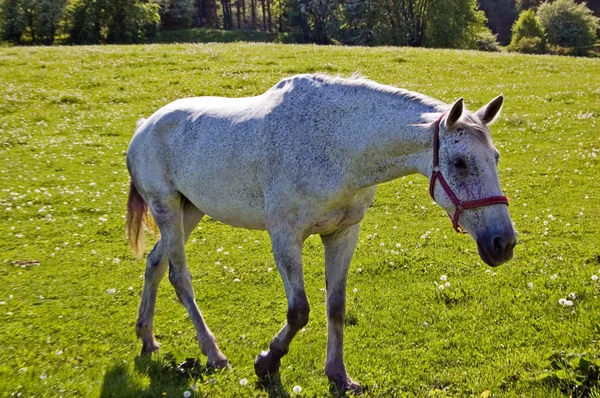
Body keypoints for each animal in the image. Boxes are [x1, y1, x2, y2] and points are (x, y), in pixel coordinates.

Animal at [125, 73, 516, 394]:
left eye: (496, 157)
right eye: (460, 163)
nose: (503, 243)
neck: (338, 147)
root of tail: (145, 125)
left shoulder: (343, 234)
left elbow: (336, 306)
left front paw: (339, 375)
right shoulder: (285, 236)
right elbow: (299, 311)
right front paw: (267, 362)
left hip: (190, 210)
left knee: (155, 263)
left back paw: (147, 338)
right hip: (166, 208)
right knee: (179, 276)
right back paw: (213, 353)